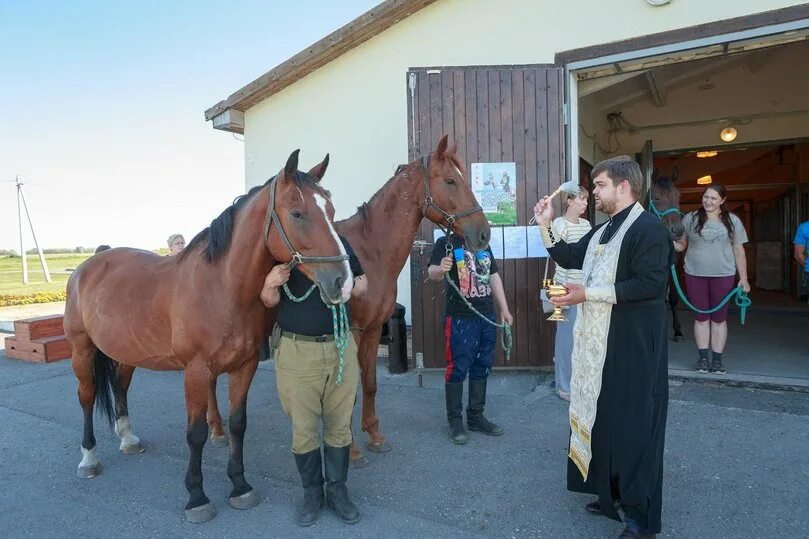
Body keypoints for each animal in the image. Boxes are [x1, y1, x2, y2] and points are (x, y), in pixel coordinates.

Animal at [64, 151, 350, 524]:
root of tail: (90, 264)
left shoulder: (245, 366)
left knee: (120, 387)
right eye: (297, 213)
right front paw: (197, 497)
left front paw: (240, 487)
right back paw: (89, 458)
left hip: (126, 352)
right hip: (81, 350)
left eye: (331, 210)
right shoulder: (196, 372)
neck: (221, 287)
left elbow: (238, 424)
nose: (342, 282)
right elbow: (196, 434)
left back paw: (128, 438)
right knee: (86, 397)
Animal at [205, 134, 490, 464]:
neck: (372, 250)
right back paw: (216, 431)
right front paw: (351, 449)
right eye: (450, 181)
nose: (484, 233)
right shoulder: (350, 331)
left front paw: (375, 435)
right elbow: (349, 392)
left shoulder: (371, 330)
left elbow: (369, 384)